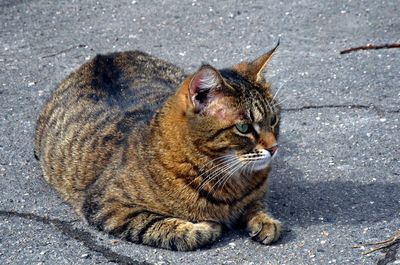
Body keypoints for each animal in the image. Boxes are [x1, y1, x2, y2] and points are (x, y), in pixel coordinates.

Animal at [35, 43, 284, 250]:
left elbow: (257, 204)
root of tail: (104, 56)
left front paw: (266, 220)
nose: (274, 148)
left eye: (273, 120)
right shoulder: (108, 206)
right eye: (244, 127)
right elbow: (162, 227)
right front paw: (203, 227)